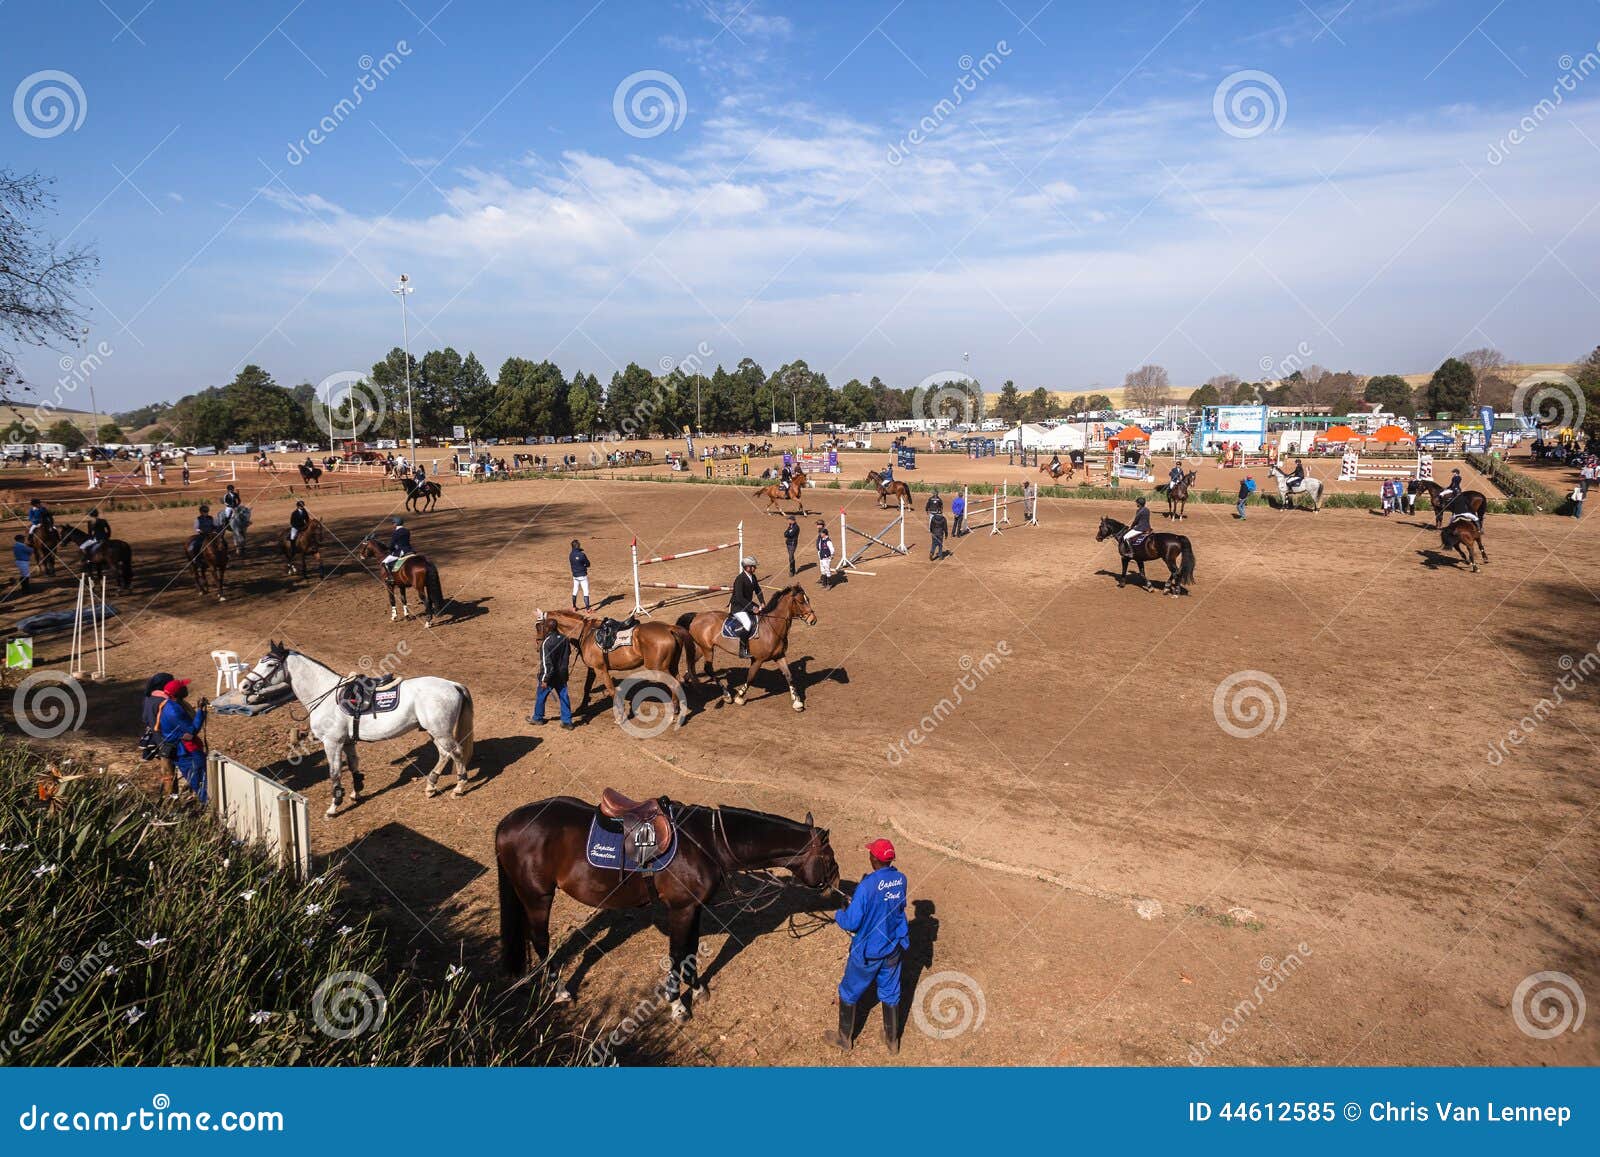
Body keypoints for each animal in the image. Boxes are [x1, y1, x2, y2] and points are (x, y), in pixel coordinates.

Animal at [240, 636, 470, 819]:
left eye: (270, 664)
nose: (244, 686)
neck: (325, 695)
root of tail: (453, 684)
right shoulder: (348, 741)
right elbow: (353, 766)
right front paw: (356, 792)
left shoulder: (332, 743)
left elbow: (335, 774)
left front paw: (334, 806)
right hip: (435, 732)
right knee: (444, 754)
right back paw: (431, 786)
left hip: (441, 732)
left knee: (456, 753)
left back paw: (459, 787)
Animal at [496, 796, 844, 1024]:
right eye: (828, 858)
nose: (837, 884)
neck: (708, 842)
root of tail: (507, 822)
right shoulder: (681, 909)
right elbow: (677, 954)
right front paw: (677, 1004)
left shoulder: (695, 908)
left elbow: (690, 950)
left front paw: (698, 988)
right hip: (538, 897)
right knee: (541, 941)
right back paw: (559, 991)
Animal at [678, 582, 819, 710]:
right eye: (801, 602)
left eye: (808, 599)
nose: (813, 620)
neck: (772, 627)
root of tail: (697, 615)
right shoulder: (757, 660)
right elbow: (750, 677)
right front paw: (739, 697)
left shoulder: (779, 656)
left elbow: (789, 675)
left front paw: (797, 701)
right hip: (707, 649)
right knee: (707, 669)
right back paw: (727, 695)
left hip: (701, 648)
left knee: (691, 662)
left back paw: (686, 682)